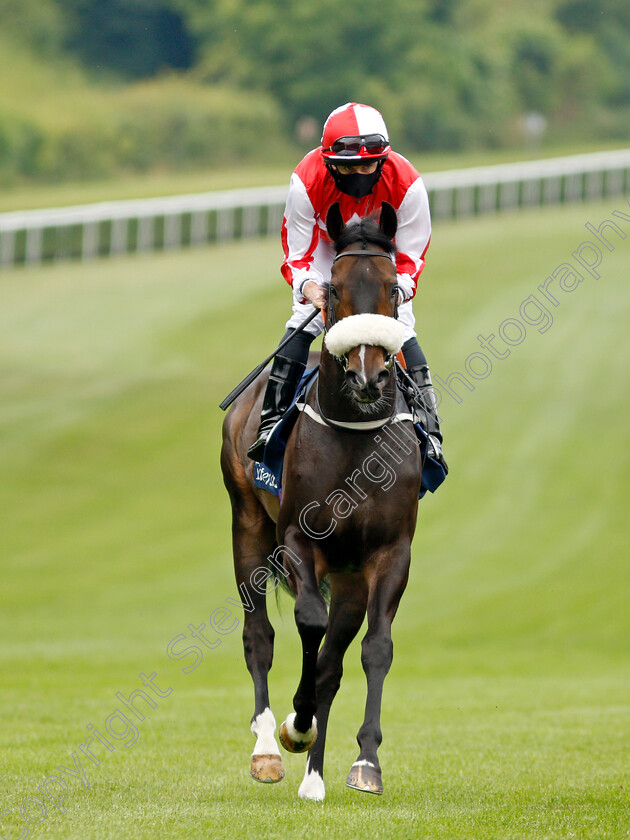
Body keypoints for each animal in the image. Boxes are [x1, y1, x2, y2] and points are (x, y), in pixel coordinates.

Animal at [222, 199, 424, 800]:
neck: (356, 436)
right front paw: (297, 723)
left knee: (333, 660)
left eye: (393, 290)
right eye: (333, 289)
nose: (368, 375)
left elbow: (371, 649)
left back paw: (314, 778)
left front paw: (366, 763)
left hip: (350, 574)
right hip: (247, 524)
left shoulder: (388, 551)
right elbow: (308, 623)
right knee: (259, 636)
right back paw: (269, 747)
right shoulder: (297, 538)